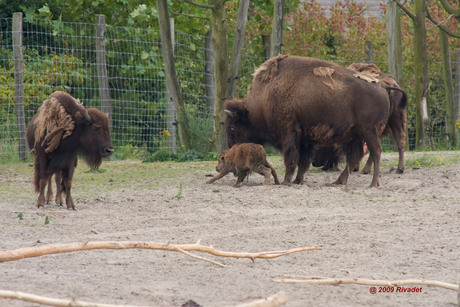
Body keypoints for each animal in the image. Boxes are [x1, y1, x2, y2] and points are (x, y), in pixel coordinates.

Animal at [223, 56, 406, 189]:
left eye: (232, 128)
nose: (231, 150)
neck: (265, 97)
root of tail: (383, 86)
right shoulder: (305, 139)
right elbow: (303, 161)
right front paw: (297, 180)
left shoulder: (289, 134)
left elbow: (291, 158)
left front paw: (287, 180)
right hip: (357, 133)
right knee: (356, 155)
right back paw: (338, 181)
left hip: (369, 131)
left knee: (376, 152)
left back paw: (373, 183)